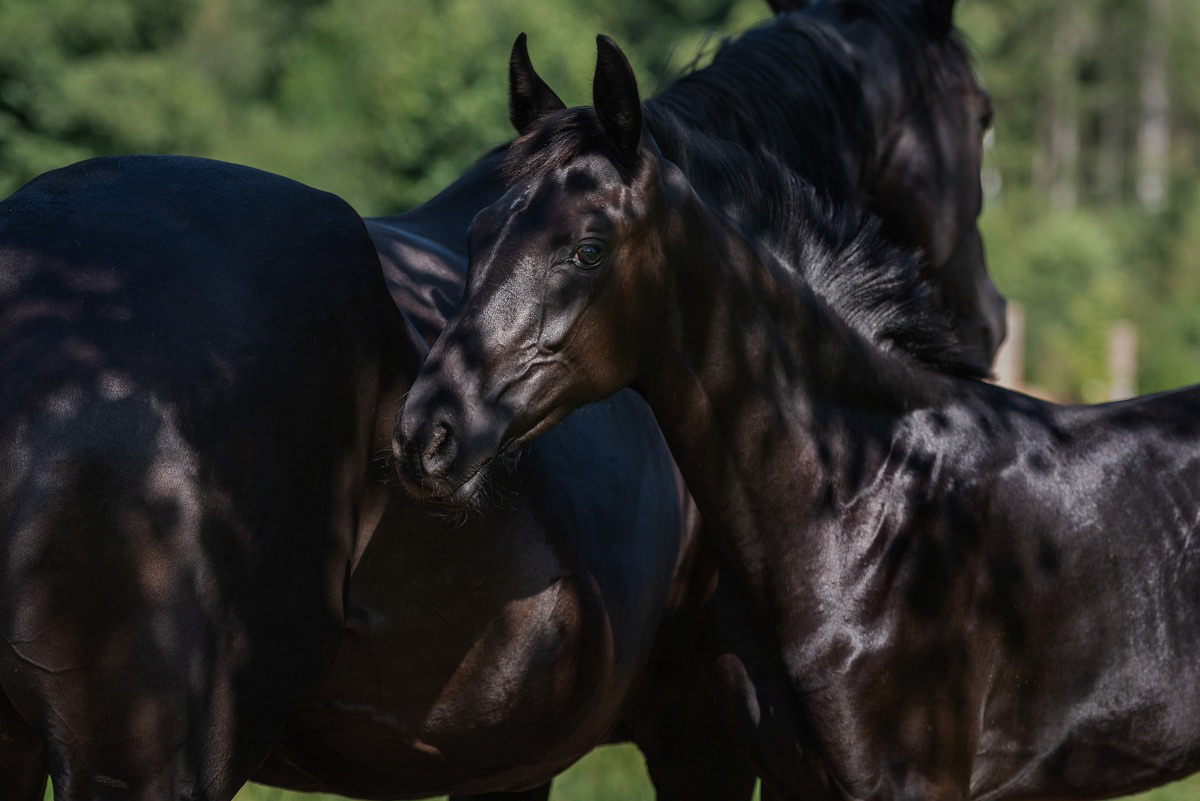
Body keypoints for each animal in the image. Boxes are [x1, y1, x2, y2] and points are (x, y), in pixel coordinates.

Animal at [396, 33, 1200, 801]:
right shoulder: (786, 775)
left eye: (588, 250)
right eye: (476, 233)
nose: (423, 434)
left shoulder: (907, 781)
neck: (869, 506)